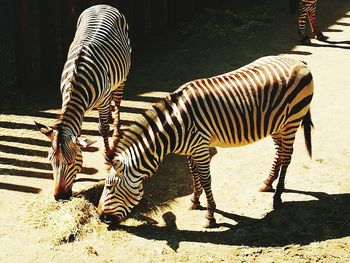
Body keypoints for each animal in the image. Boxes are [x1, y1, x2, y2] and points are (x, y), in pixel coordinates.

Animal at [34, 4, 131, 200]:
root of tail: (102, 5)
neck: (76, 83)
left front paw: (108, 159)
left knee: (117, 103)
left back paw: (116, 132)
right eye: (50, 161)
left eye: (71, 161)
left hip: (122, 78)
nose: (59, 197)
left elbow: (102, 129)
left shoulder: (103, 101)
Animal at [98, 56, 314, 229]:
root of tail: (298, 61)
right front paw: (195, 201)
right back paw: (268, 183)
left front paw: (210, 217)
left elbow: (206, 179)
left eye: (110, 187)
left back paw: (277, 196)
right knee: (279, 152)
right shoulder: (191, 150)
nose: (100, 217)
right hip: (276, 124)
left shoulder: (201, 148)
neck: (175, 127)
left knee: (286, 156)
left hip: (292, 120)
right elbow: (194, 175)